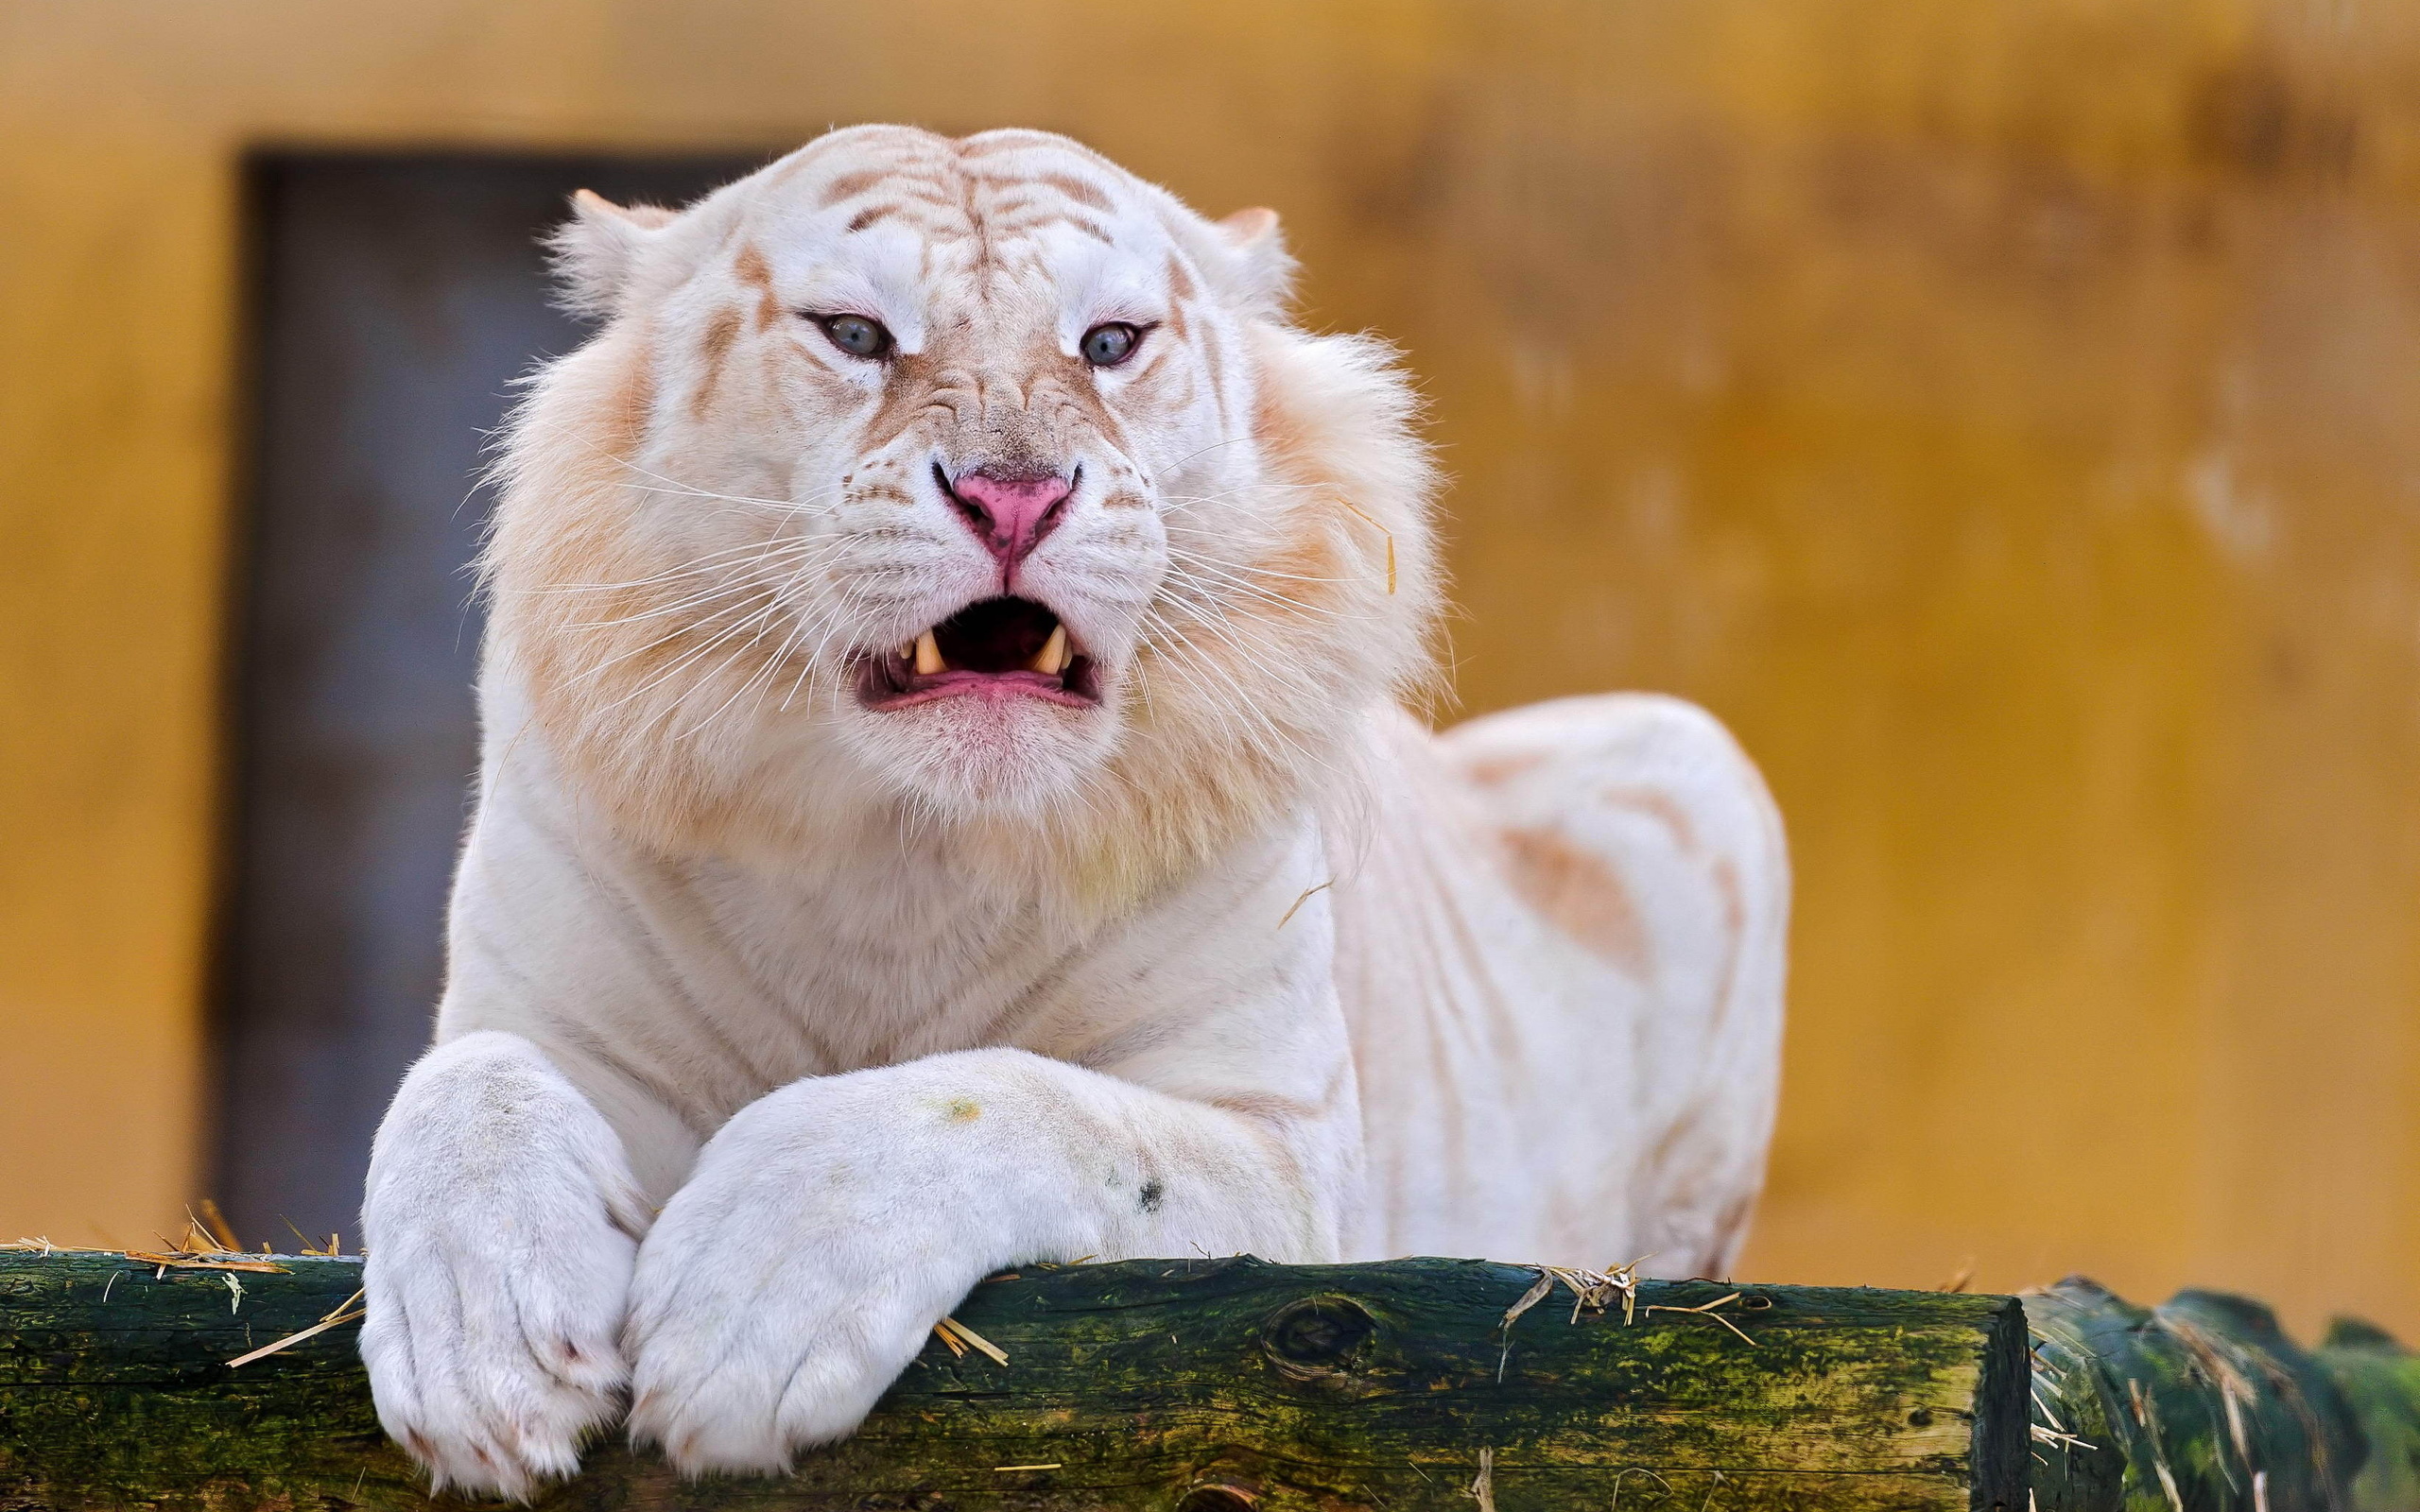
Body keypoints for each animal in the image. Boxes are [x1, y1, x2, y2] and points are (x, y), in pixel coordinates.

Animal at [363, 124, 1800, 1489]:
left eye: (1110, 344)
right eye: (854, 333)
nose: (1015, 495)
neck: (903, 852)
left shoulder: (1288, 1157)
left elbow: (1028, 1107)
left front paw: (745, 1306)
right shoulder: (546, 1013)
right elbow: (463, 1085)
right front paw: (480, 1356)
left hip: (1692, 763)